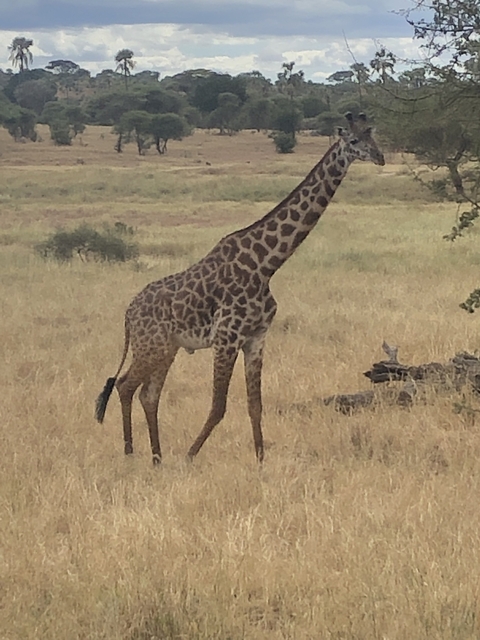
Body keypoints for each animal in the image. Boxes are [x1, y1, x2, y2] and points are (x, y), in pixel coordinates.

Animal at [95, 113, 385, 465]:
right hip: (151, 345)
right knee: (125, 386)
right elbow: (219, 406)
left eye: (373, 136)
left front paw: (260, 460)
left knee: (148, 395)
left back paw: (157, 457)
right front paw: (190, 456)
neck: (266, 264)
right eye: (354, 141)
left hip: (167, 348)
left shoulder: (256, 338)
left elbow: (254, 404)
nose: (380, 157)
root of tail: (128, 313)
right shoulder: (227, 338)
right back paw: (130, 453)